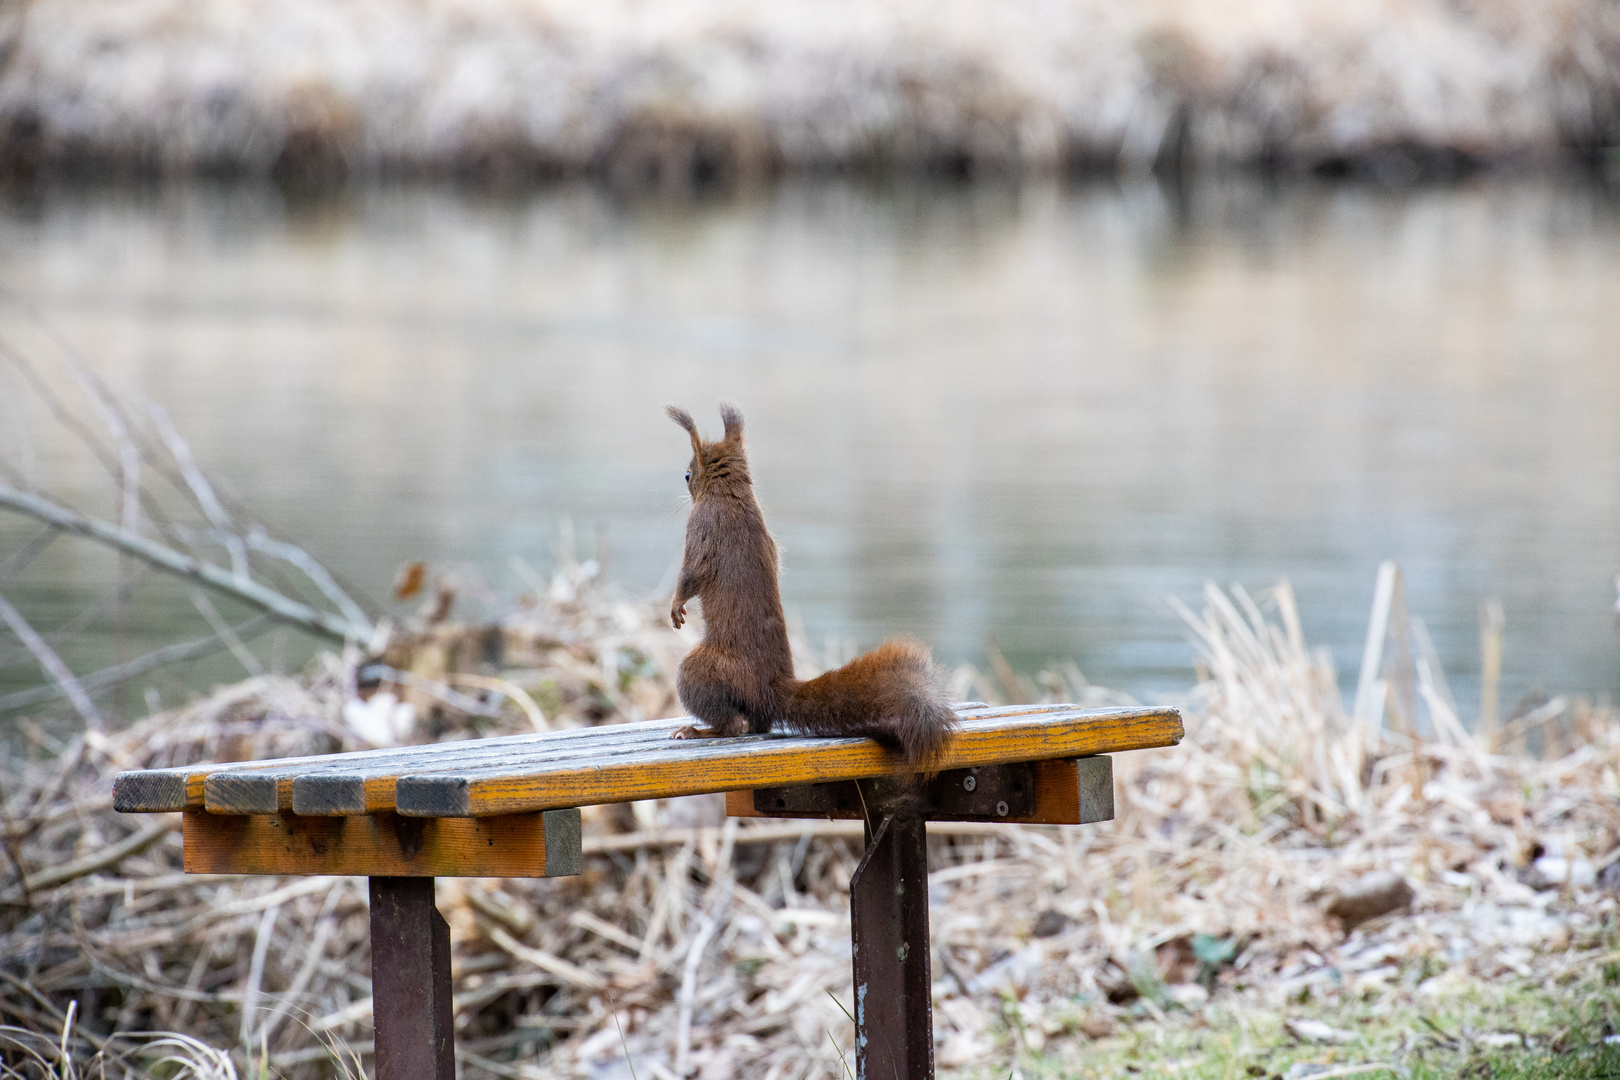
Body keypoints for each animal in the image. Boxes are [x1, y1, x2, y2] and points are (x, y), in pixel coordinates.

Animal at [664, 403, 952, 767]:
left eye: (688, 475)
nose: (685, 483)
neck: (731, 495)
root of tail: (771, 689)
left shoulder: (702, 529)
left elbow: (690, 574)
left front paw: (676, 607)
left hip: (700, 671)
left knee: (735, 725)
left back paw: (696, 731)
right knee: (756, 723)